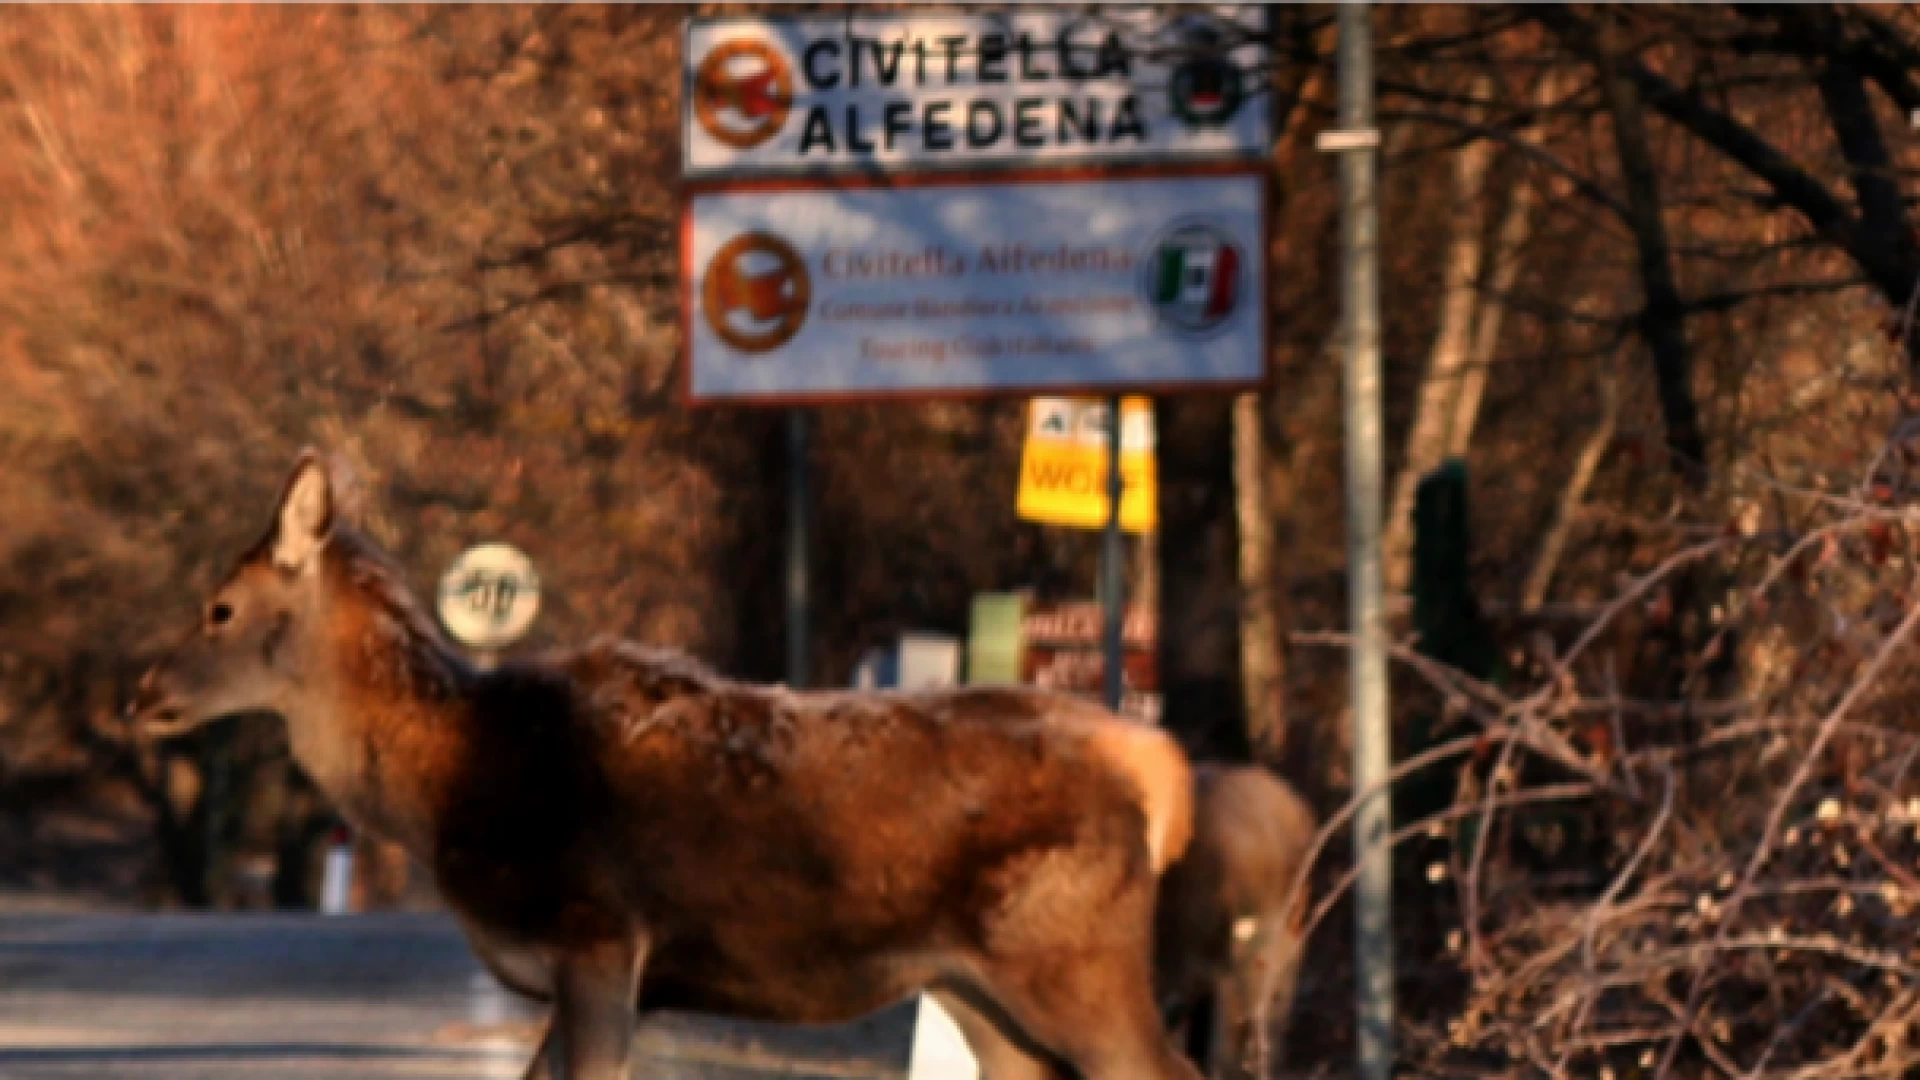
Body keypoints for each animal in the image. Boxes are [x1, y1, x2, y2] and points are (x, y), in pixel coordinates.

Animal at [127, 449, 1198, 1076]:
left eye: (220, 606)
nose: (141, 694)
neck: (449, 784)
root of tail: (1158, 774)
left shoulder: (598, 936)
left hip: (1071, 955)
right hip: (979, 991)